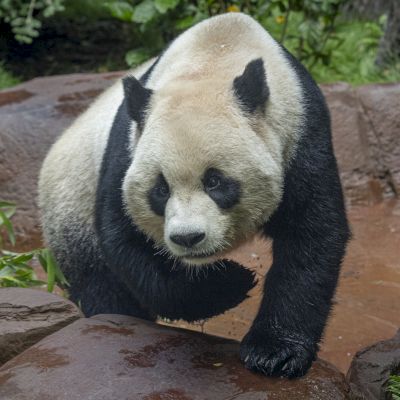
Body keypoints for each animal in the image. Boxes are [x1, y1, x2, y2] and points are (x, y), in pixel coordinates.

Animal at [38, 13, 350, 378]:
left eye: (215, 181)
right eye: (160, 189)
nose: (188, 238)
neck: (213, 57)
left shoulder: (301, 132)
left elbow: (311, 234)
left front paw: (275, 353)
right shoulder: (127, 147)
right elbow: (127, 241)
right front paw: (230, 281)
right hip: (71, 204)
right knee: (98, 280)